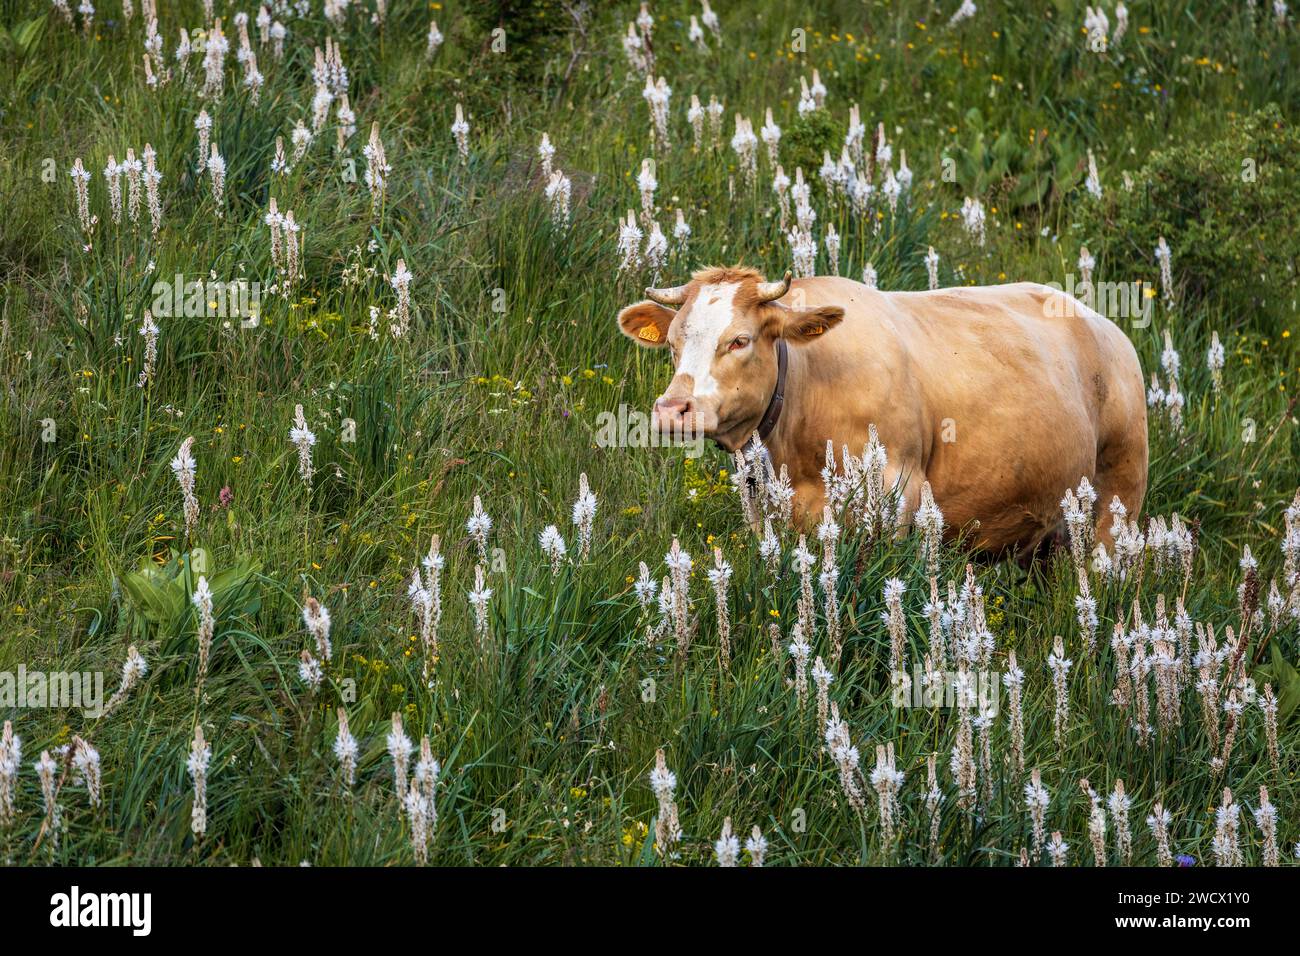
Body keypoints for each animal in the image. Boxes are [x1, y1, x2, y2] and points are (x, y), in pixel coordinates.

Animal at [616, 266, 1147, 558]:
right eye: (673, 342)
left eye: (739, 340)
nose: (672, 410)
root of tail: (1103, 325)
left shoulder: (898, 491)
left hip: (1120, 488)